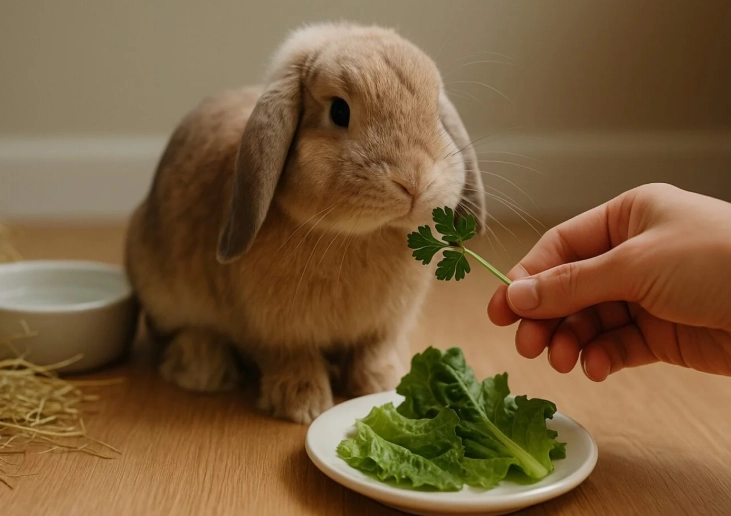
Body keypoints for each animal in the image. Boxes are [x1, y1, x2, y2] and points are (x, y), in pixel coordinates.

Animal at [124, 21, 487, 425]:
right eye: (339, 111)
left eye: (436, 112)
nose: (414, 182)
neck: (356, 235)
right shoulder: (276, 333)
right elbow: (293, 361)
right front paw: (303, 406)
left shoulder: (382, 328)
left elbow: (372, 354)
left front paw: (381, 385)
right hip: (163, 293)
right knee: (186, 334)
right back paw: (204, 371)